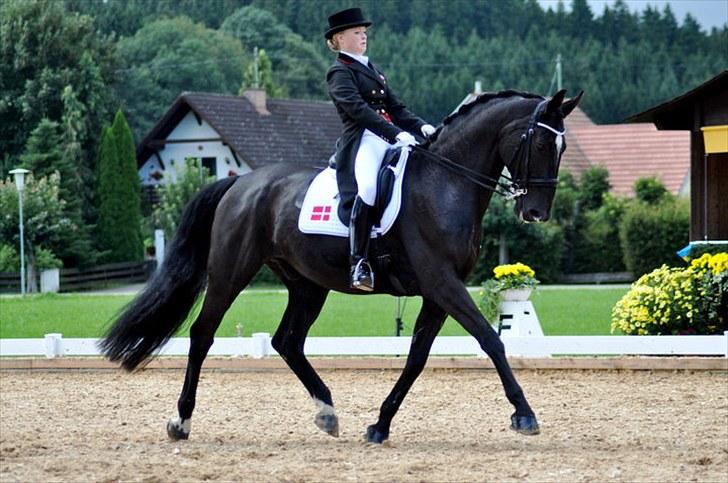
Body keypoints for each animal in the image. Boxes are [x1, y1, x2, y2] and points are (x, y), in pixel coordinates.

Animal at [101, 89, 580, 444]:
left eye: (562, 146)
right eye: (541, 143)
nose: (536, 213)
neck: (445, 183)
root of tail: (240, 183)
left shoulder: (439, 291)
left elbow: (417, 357)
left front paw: (380, 425)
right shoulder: (443, 283)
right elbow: (490, 339)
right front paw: (524, 414)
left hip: (307, 284)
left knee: (287, 341)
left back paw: (327, 413)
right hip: (230, 273)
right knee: (203, 334)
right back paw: (181, 422)